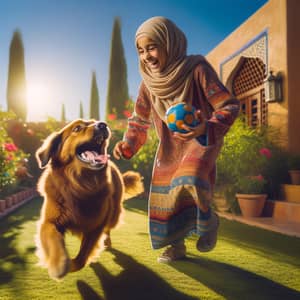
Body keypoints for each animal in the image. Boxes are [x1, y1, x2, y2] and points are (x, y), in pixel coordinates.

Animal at [35, 119, 143, 278]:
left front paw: (72, 265)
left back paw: (107, 242)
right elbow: (54, 240)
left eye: (95, 122)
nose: (103, 124)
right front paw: (58, 264)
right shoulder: (50, 221)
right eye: (77, 128)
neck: (80, 186)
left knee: (108, 229)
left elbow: (82, 257)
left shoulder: (95, 227)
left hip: (114, 215)